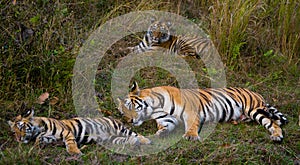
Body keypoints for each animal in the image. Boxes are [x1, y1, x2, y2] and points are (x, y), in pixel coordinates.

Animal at [8, 108, 151, 155]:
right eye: (14, 132)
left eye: (21, 128)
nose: (19, 139)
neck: (38, 130)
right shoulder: (49, 137)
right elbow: (40, 140)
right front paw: (37, 146)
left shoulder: (66, 133)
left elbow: (70, 143)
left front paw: (75, 152)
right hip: (112, 139)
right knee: (128, 139)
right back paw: (134, 143)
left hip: (119, 129)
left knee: (135, 134)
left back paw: (146, 141)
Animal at [117, 82, 288, 142]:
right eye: (122, 112)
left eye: (130, 107)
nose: (129, 121)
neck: (155, 108)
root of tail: (256, 93)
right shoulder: (167, 120)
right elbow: (164, 127)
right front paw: (160, 134)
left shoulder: (190, 111)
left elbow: (191, 125)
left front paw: (191, 136)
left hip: (253, 109)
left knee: (273, 122)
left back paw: (277, 136)